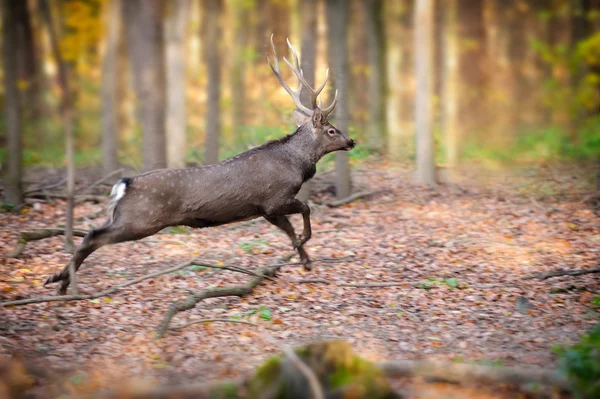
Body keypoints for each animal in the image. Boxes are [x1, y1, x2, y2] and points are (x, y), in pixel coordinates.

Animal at [47, 35, 356, 296]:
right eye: (331, 130)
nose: (351, 140)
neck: (295, 164)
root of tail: (124, 184)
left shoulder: (265, 210)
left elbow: (289, 230)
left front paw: (305, 260)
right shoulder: (273, 199)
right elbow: (305, 210)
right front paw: (304, 246)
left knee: (92, 235)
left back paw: (59, 281)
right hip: (141, 219)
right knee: (93, 235)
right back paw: (60, 282)